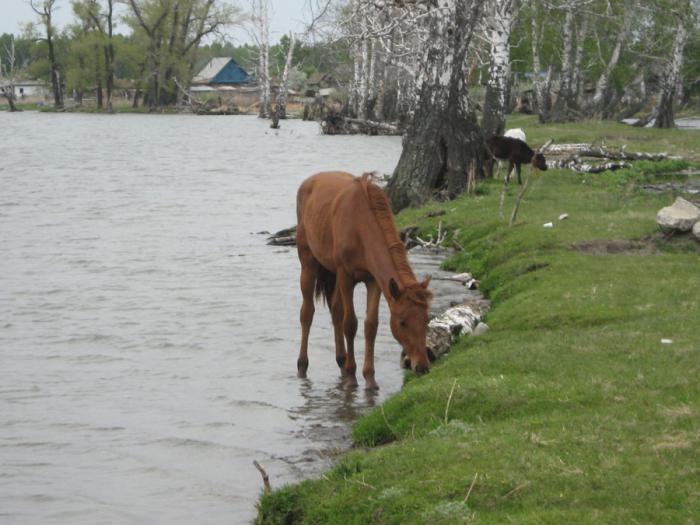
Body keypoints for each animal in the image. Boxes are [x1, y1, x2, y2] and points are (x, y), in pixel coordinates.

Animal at [296, 172, 432, 388]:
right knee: (307, 312)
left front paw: (369, 378)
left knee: (335, 309)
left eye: (426, 319)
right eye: (402, 322)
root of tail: (308, 181)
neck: (360, 227)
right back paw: (303, 365)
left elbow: (371, 325)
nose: (422, 367)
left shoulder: (374, 280)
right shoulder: (345, 276)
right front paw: (353, 377)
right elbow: (350, 323)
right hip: (308, 261)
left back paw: (341, 361)